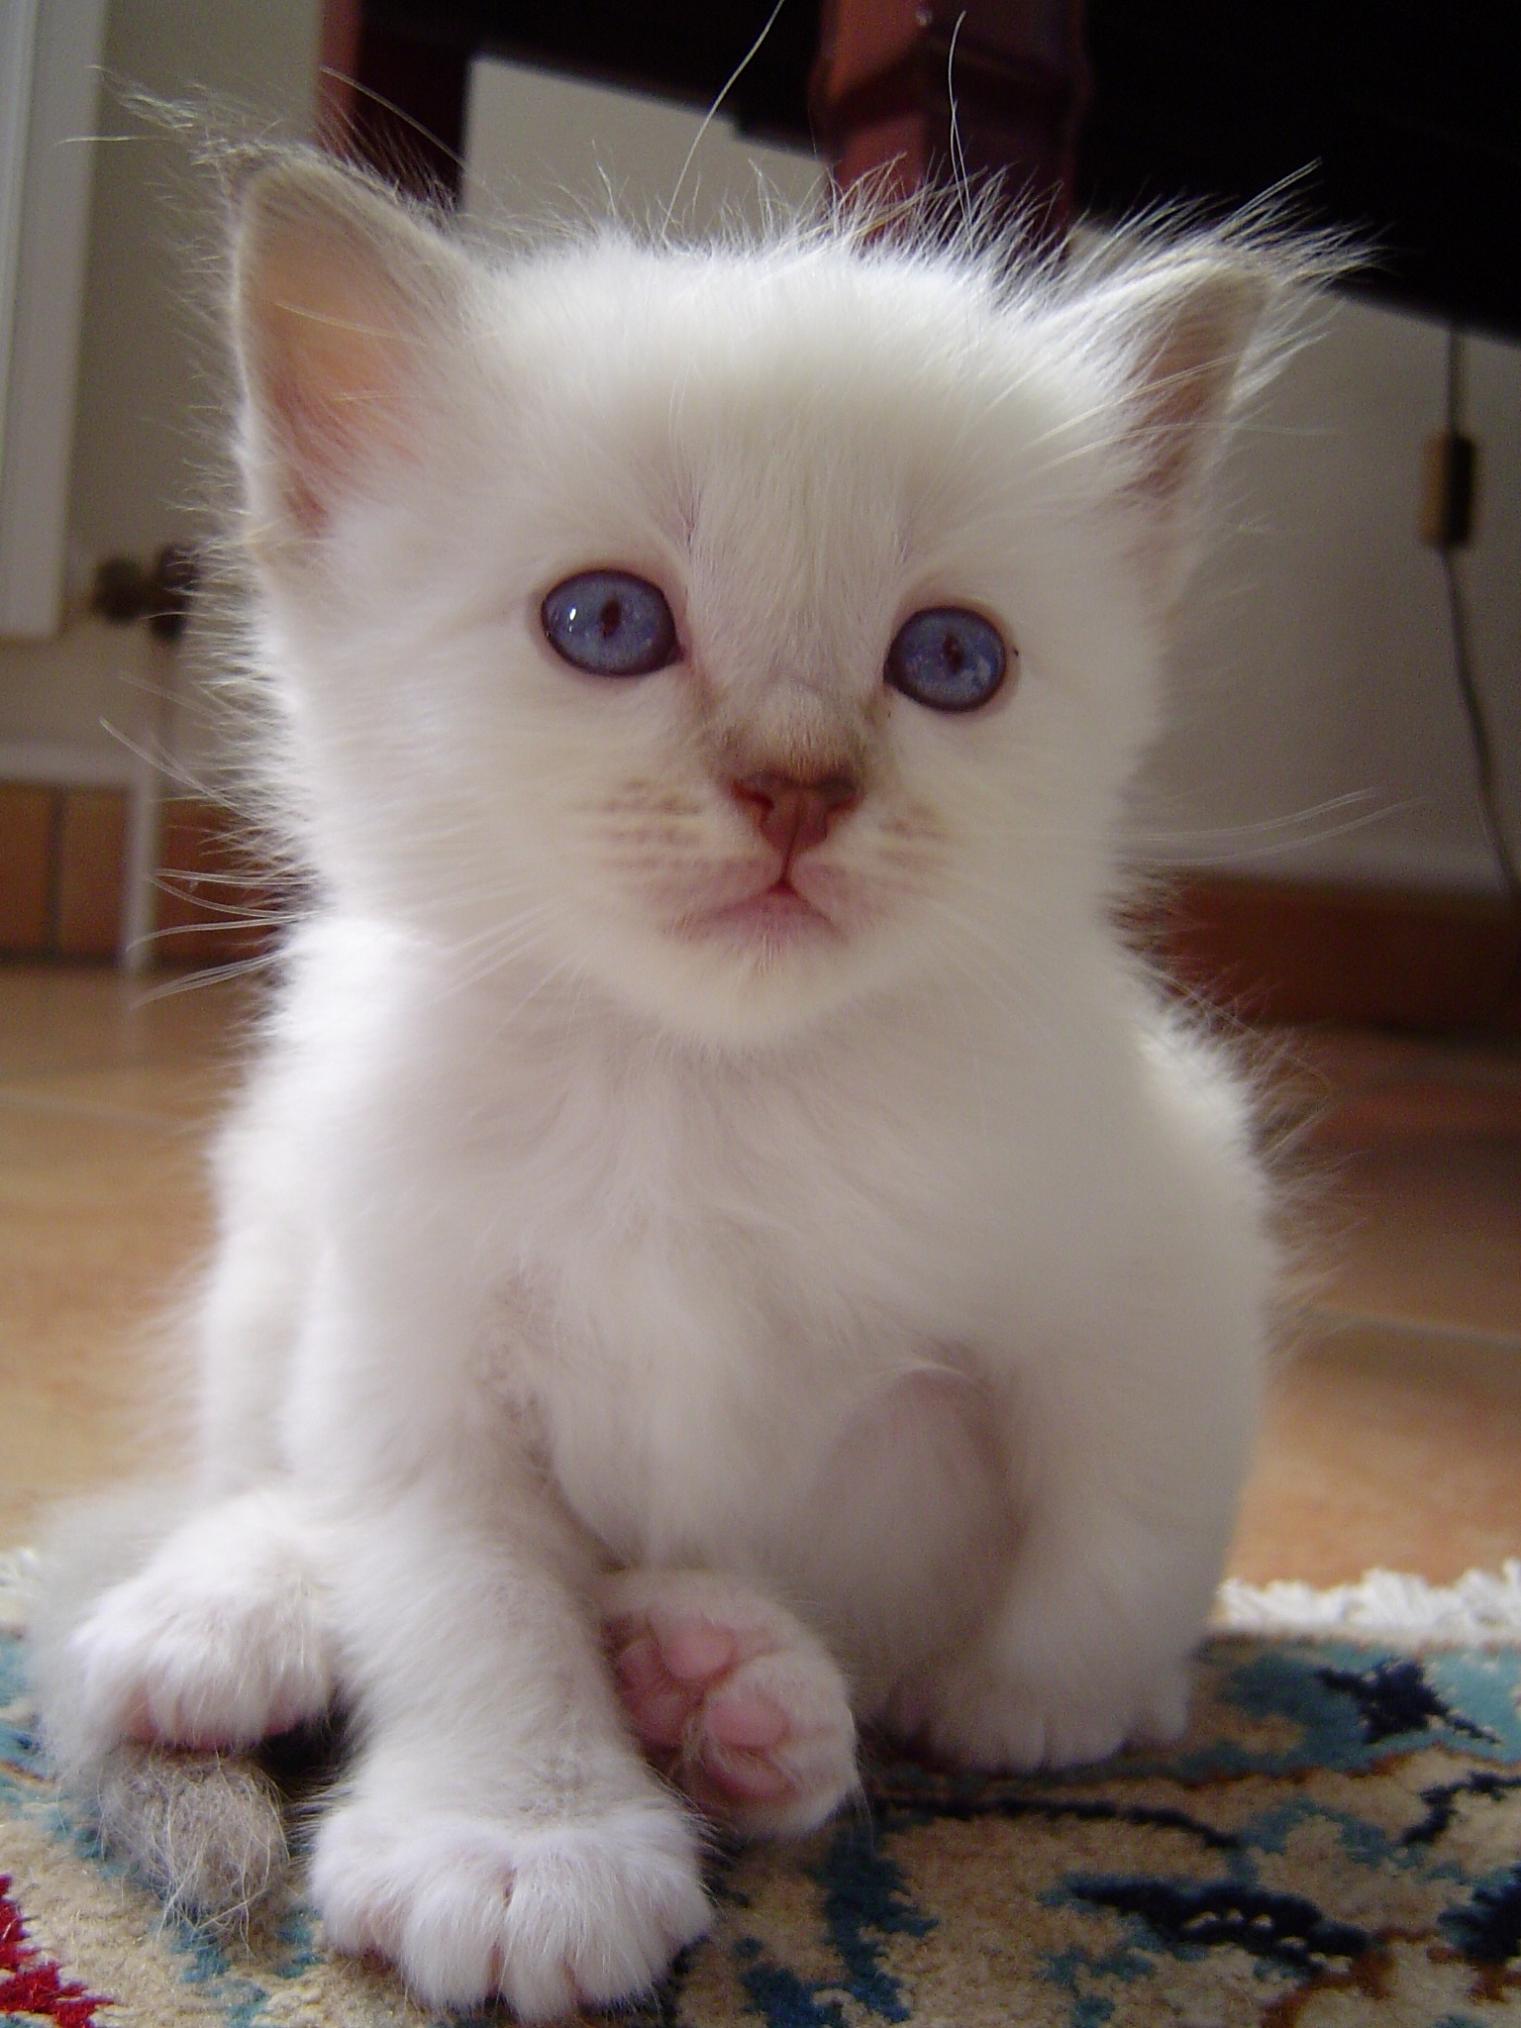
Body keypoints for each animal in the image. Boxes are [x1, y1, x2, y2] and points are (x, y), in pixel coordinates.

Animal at [32, 154, 1297, 2011]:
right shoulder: (418, 1348)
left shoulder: (1162, 1237)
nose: (796, 785)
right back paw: (224, 1623)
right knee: (251, 1469)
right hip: (276, 1229)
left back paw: (730, 1686)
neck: (703, 1093)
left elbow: (1126, 1530)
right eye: (609, 624)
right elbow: (468, 1602)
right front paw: (518, 1842)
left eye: (954, 662)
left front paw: (1037, 1707)